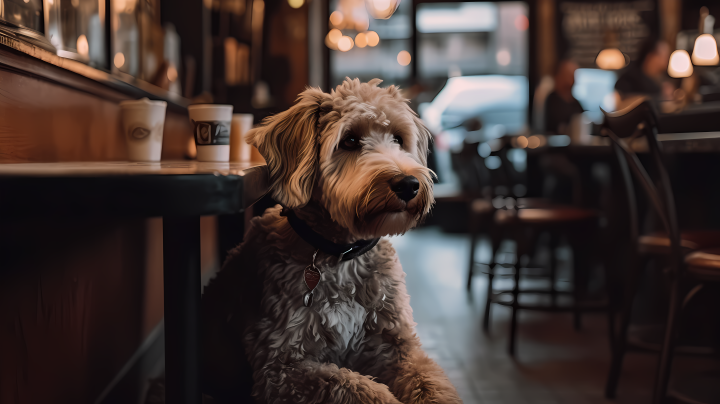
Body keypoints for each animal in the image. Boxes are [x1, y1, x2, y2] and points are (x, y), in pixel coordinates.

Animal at [200, 79, 464, 404]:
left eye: (398, 139)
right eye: (349, 141)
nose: (408, 184)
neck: (342, 256)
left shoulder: (398, 348)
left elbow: (430, 383)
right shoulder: (280, 368)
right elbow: (355, 386)